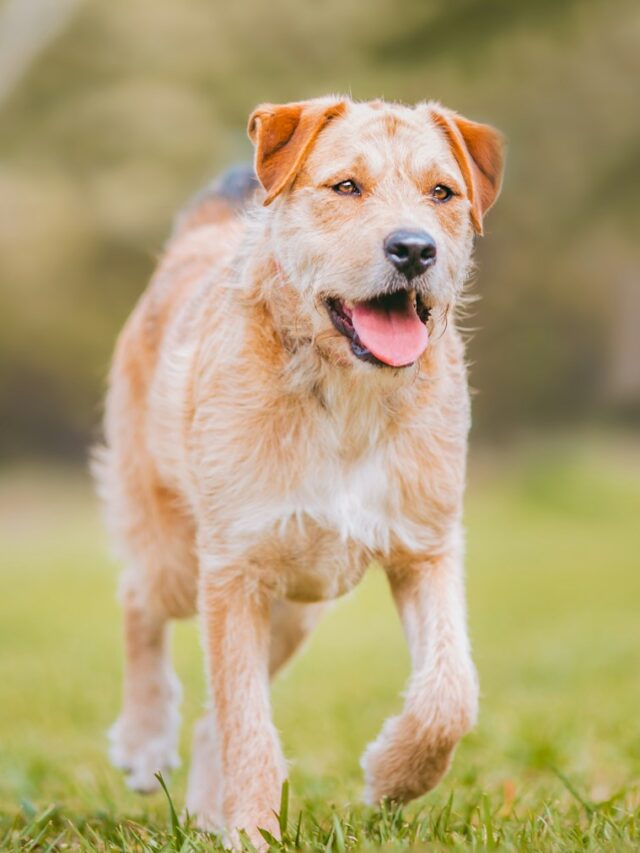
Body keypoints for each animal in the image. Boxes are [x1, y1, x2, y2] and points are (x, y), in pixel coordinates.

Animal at [95, 96, 504, 844]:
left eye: (442, 193)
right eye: (346, 187)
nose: (414, 249)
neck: (345, 397)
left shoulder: (425, 548)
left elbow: (450, 692)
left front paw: (393, 775)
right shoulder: (233, 570)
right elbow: (248, 724)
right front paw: (255, 834)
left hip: (297, 608)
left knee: (212, 715)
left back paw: (205, 811)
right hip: (179, 558)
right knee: (139, 598)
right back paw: (145, 739)